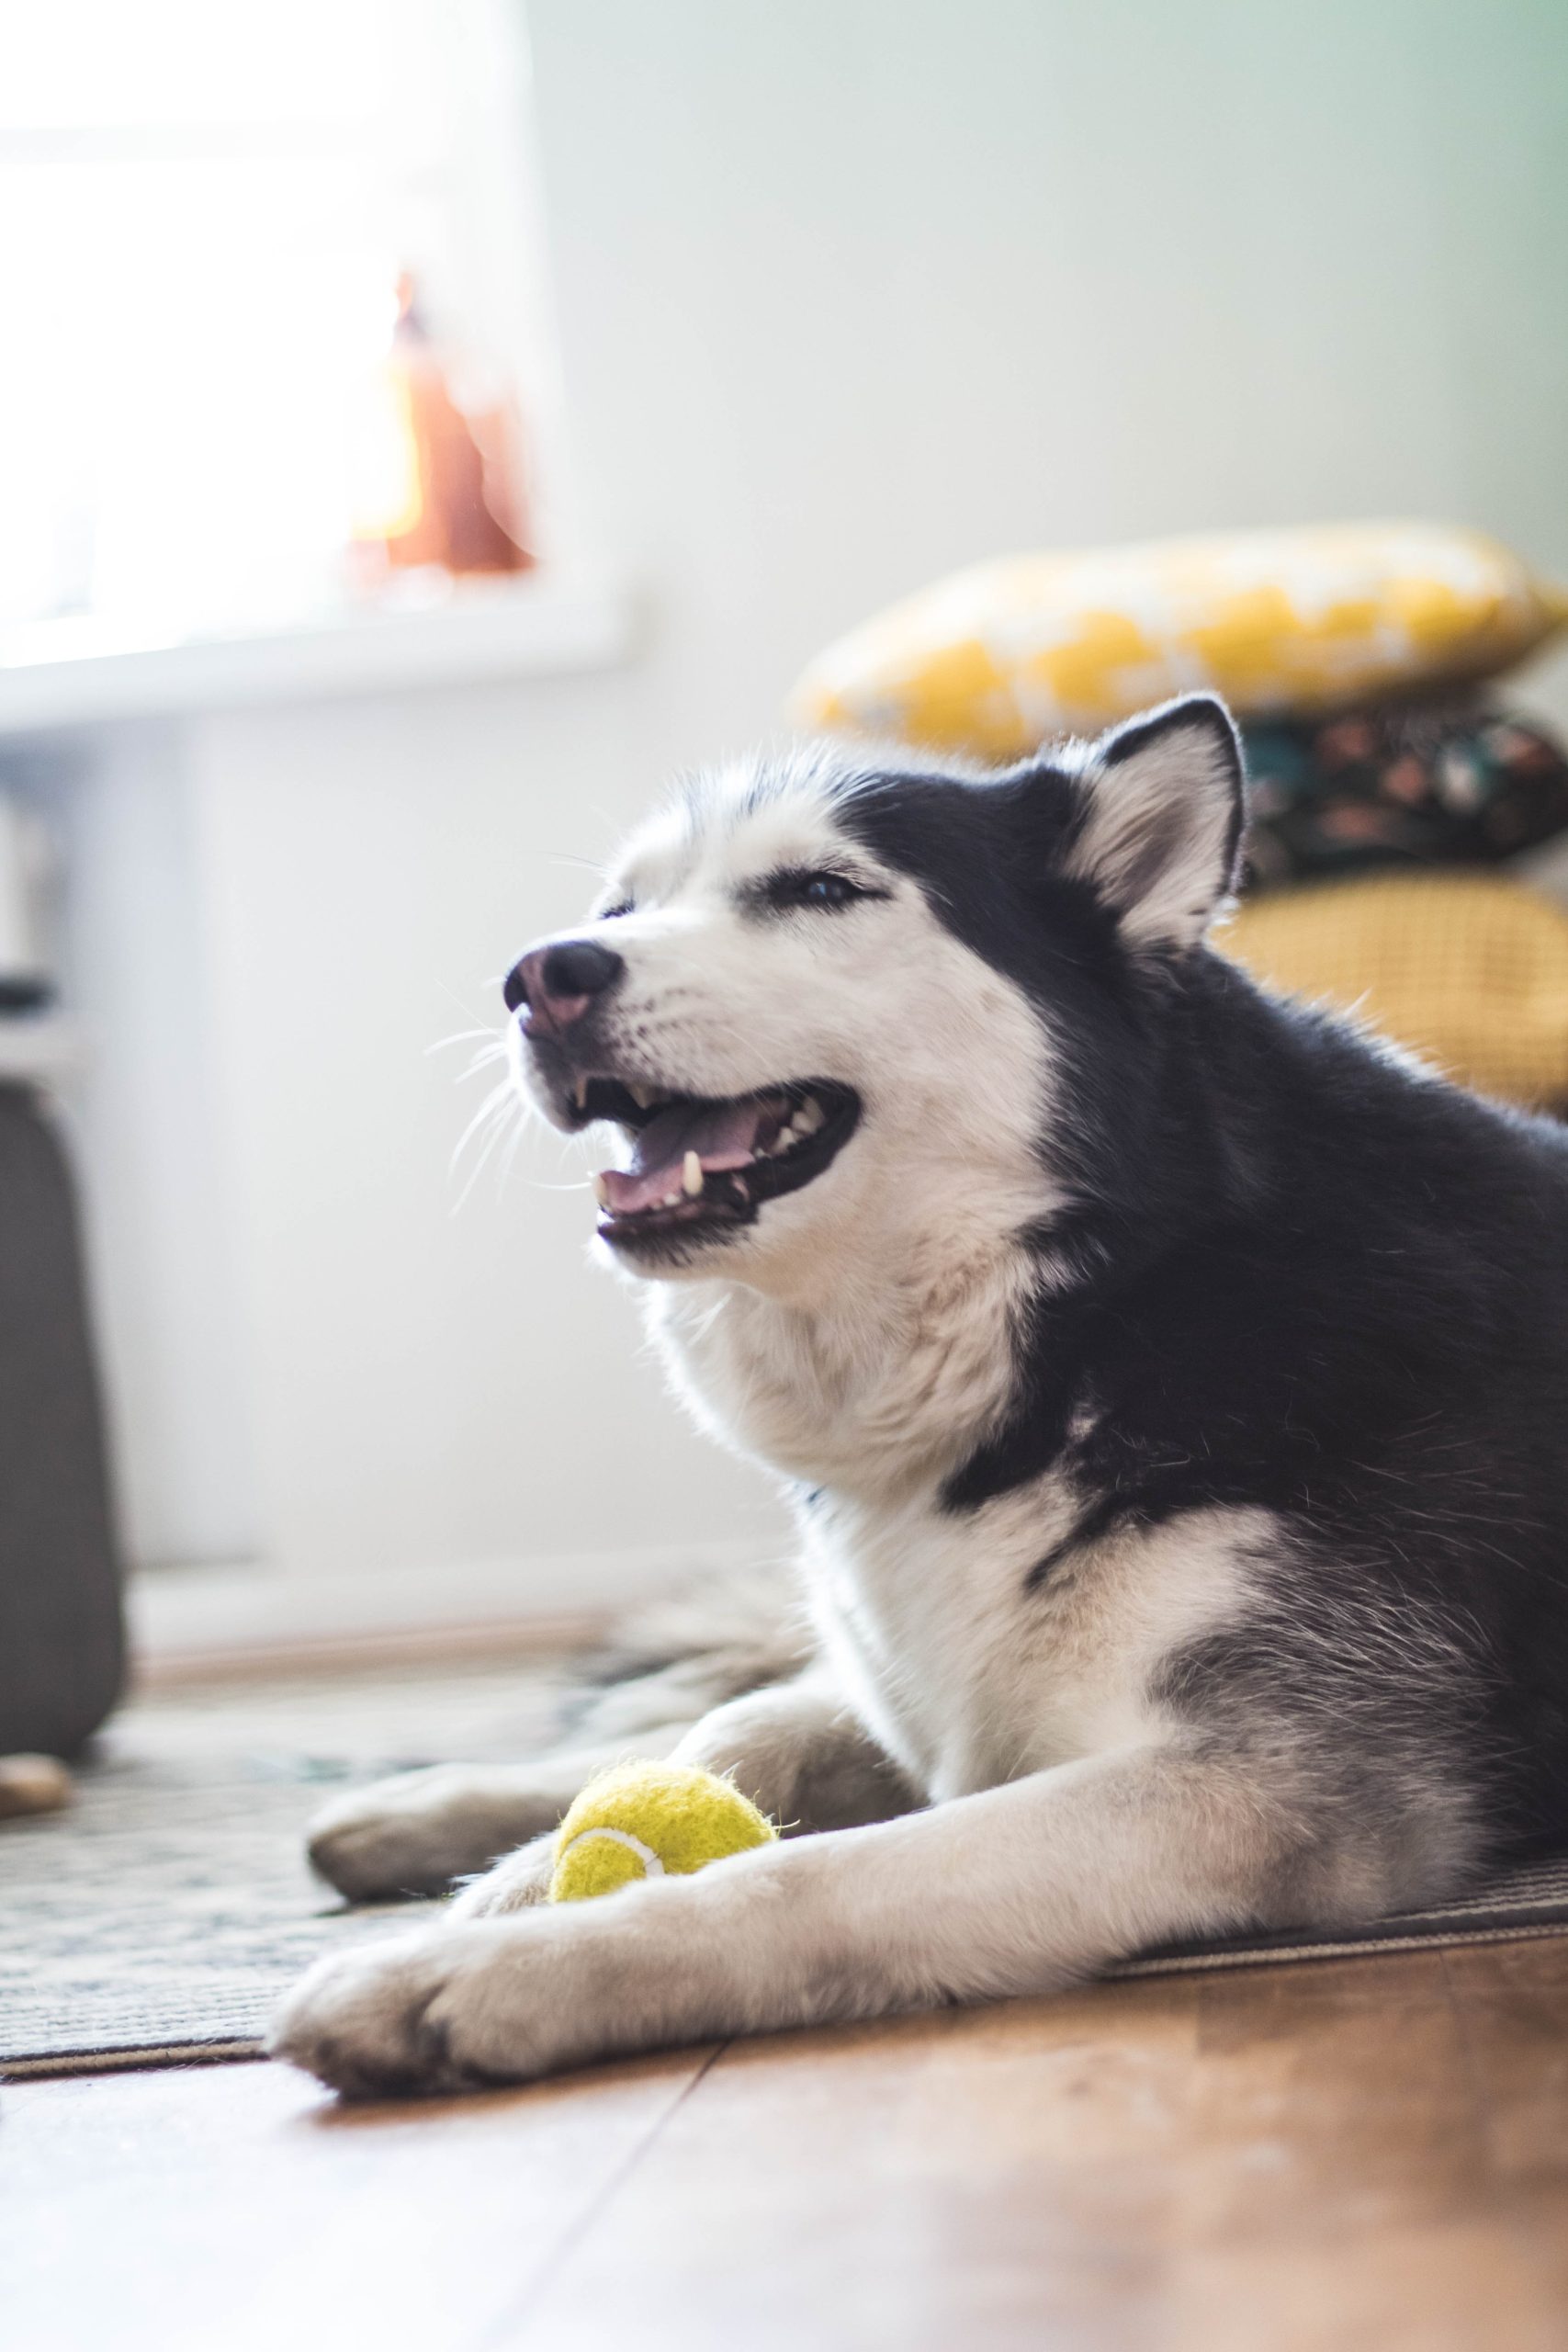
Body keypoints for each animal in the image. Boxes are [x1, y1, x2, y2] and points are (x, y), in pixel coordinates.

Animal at [276, 691, 1568, 2098]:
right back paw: (410, 1807)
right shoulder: (940, 1690)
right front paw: (504, 1884)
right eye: (622, 907)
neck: (1092, 1308)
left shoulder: (1252, 1785)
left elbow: (808, 1875)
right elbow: (727, 1740)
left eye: (819, 889)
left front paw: (478, 1971)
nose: (540, 977)